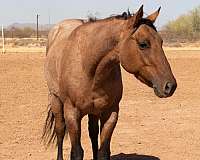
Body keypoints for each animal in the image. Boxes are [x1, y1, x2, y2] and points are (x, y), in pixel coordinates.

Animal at [43, 5, 177, 160]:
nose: (170, 86)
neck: (88, 67)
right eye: (143, 44)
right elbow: (76, 152)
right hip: (55, 100)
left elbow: (103, 151)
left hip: (93, 111)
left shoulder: (110, 113)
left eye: (161, 42)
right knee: (59, 130)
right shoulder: (72, 113)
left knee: (93, 133)